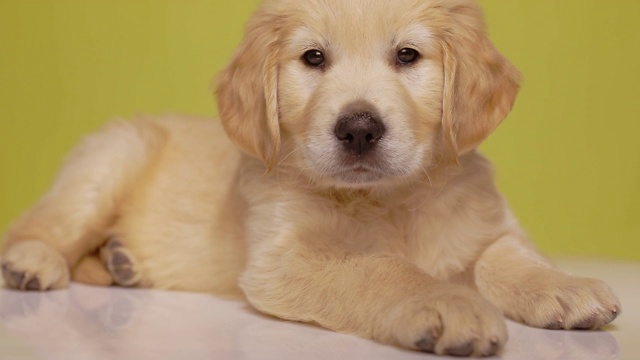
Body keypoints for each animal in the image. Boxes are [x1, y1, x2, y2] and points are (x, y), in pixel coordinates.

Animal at [0, 0, 620, 356]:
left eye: (408, 55)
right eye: (313, 58)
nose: (359, 130)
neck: (385, 200)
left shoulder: (484, 219)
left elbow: (508, 256)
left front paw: (565, 287)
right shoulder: (284, 258)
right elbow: (380, 269)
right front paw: (445, 303)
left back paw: (120, 262)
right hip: (110, 158)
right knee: (39, 224)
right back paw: (36, 261)